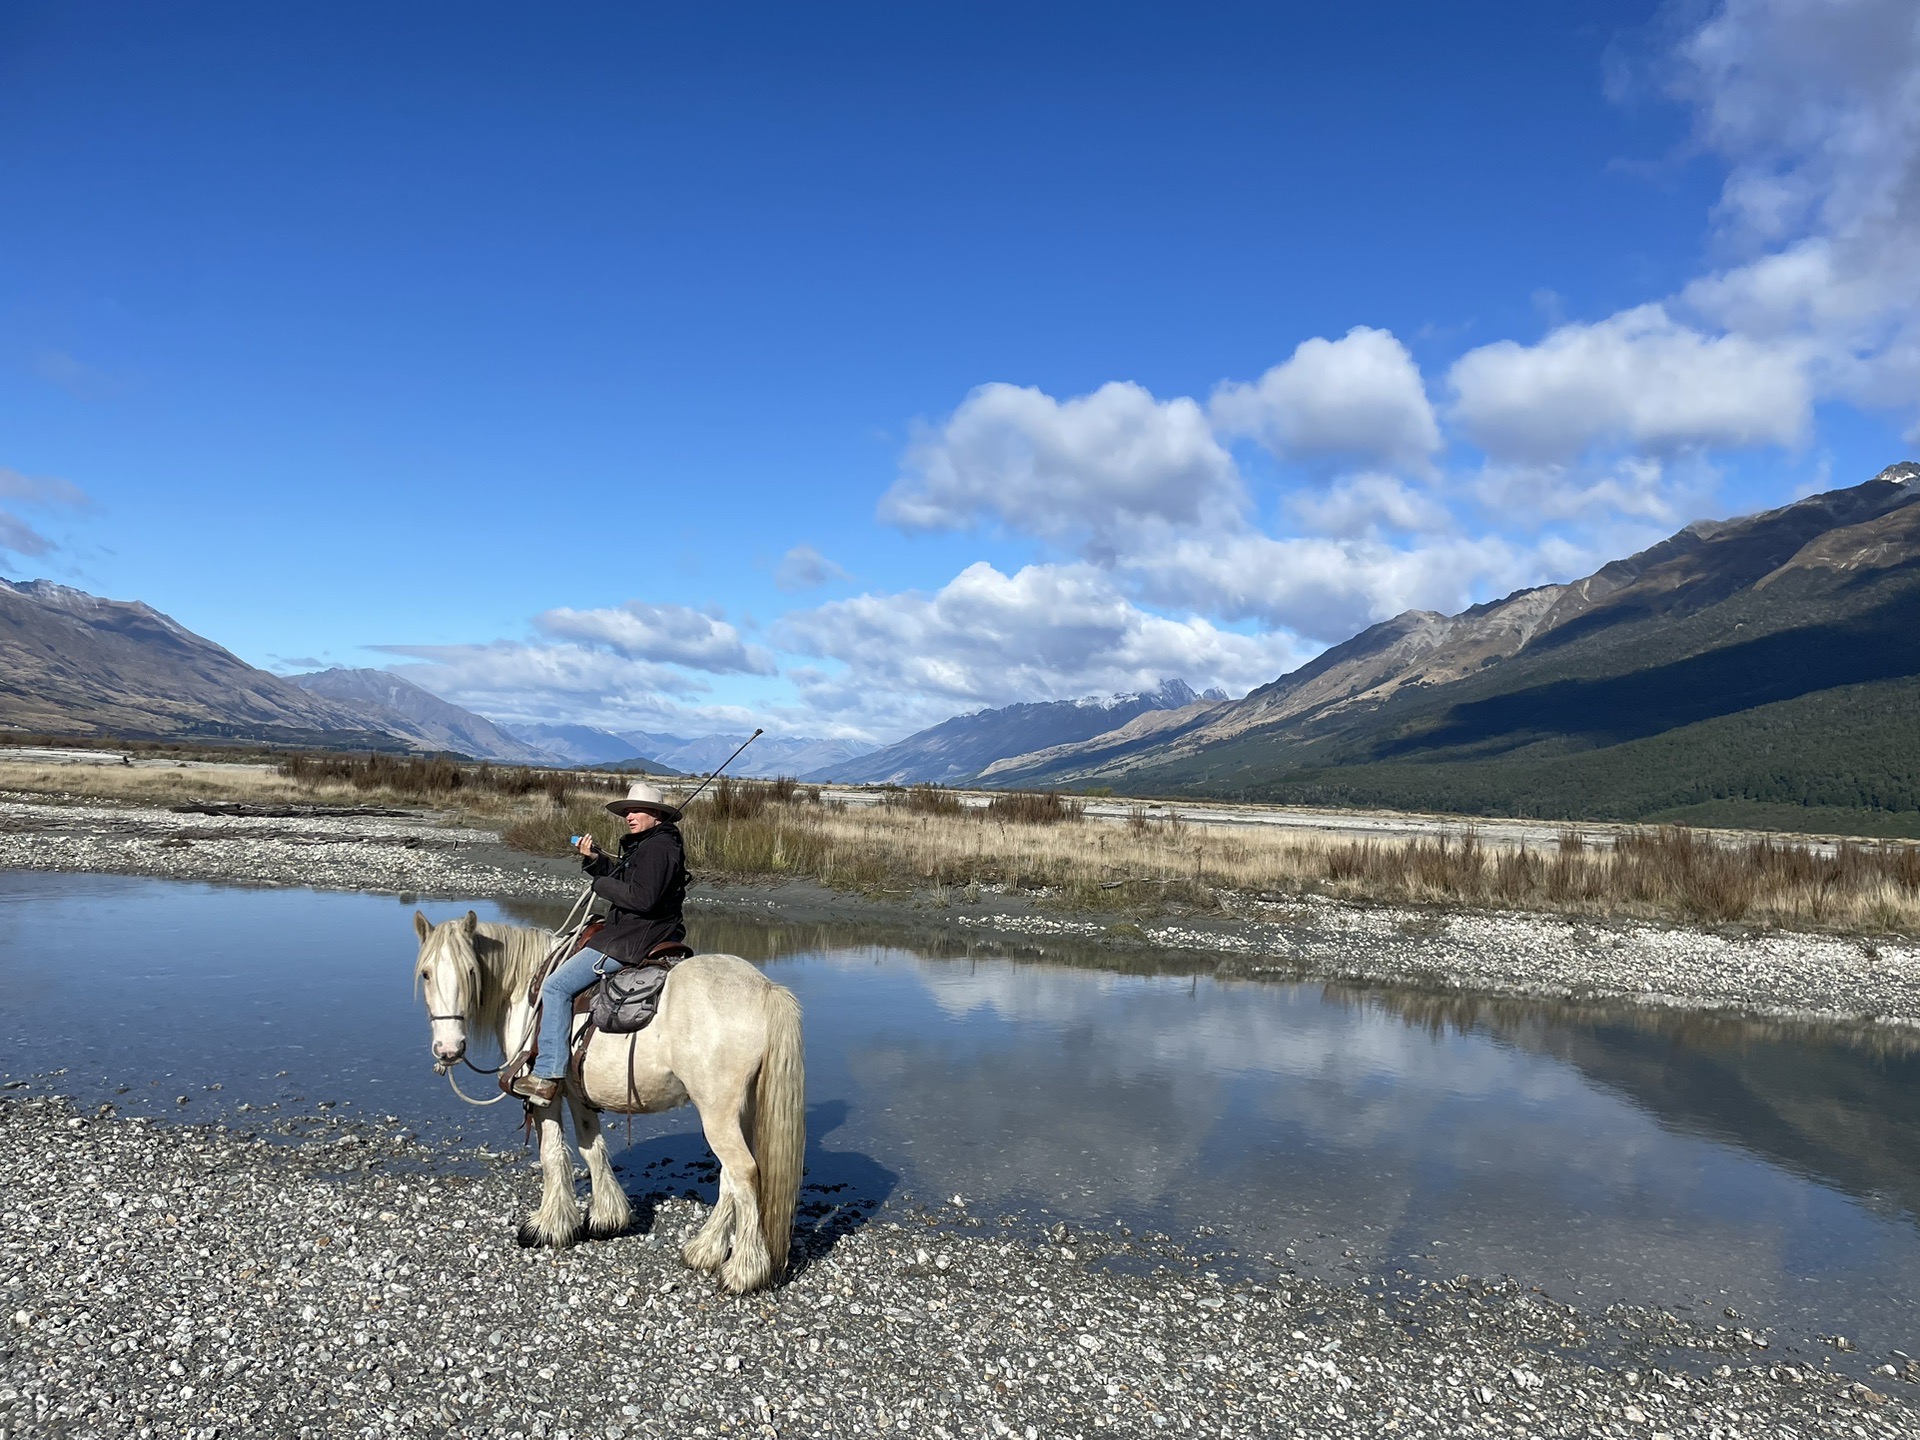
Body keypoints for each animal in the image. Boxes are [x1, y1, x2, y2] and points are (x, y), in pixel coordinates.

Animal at [412, 913, 802, 1297]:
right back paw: (704, 1250)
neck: (526, 989)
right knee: (730, 1178)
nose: (448, 1049)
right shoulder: (577, 1093)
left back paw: (743, 1272)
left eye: (471, 971)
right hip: (740, 1111)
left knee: (744, 1173)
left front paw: (548, 1227)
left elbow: (552, 1153)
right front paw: (607, 1218)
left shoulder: (545, 1097)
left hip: (717, 1112)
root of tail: (764, 989)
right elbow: (592, 1148)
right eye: (427, 973)